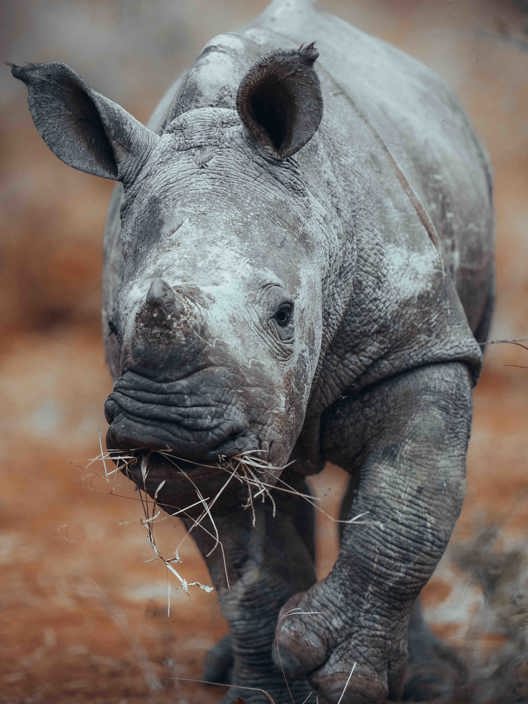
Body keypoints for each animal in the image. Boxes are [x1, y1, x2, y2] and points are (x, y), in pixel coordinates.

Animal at [12, 0, 494, 701]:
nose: (165, 426)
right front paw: (270, 687)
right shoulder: (220, 429)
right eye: (112, 324)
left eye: (284, 313)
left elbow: (407, 509)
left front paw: (337, 671)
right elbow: (246, 565)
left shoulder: (420, 349)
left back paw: (426, 678)